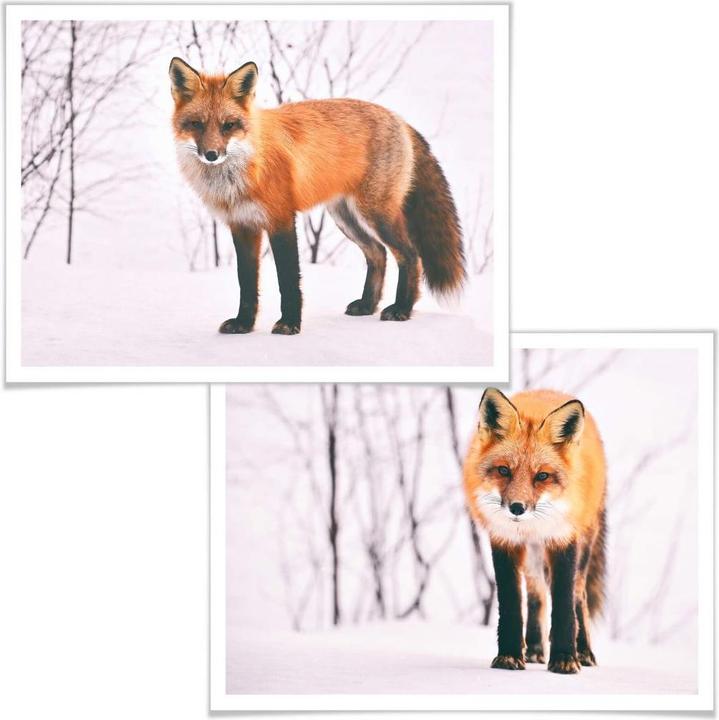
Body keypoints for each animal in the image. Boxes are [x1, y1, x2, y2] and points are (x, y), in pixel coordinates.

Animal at [168, 58, 465, 335]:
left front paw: (289, 324)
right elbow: (247, 284)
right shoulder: (242, 225)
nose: (211, 155)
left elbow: (288, 280)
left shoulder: (281, 219)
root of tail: (399, 118)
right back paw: (368, 305)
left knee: (410, 255)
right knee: (378, 253)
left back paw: (402, 308)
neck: (244, 169)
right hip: (346, 217)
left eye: (228, 125)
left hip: (376, 214)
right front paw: (244, 324)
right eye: (196, 124)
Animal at [463, 388, 607, 675]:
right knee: (536, 595)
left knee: (579, 596)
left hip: (583, 544)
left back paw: (584, 652)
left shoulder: (563, 539)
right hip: (532, 557)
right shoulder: (504, 540)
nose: (517, 508)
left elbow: (564, 605)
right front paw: (508, 656)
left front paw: (564, 659)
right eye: (504, 470)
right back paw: (535, 649)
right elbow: (511, 603)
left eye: (542, 476)